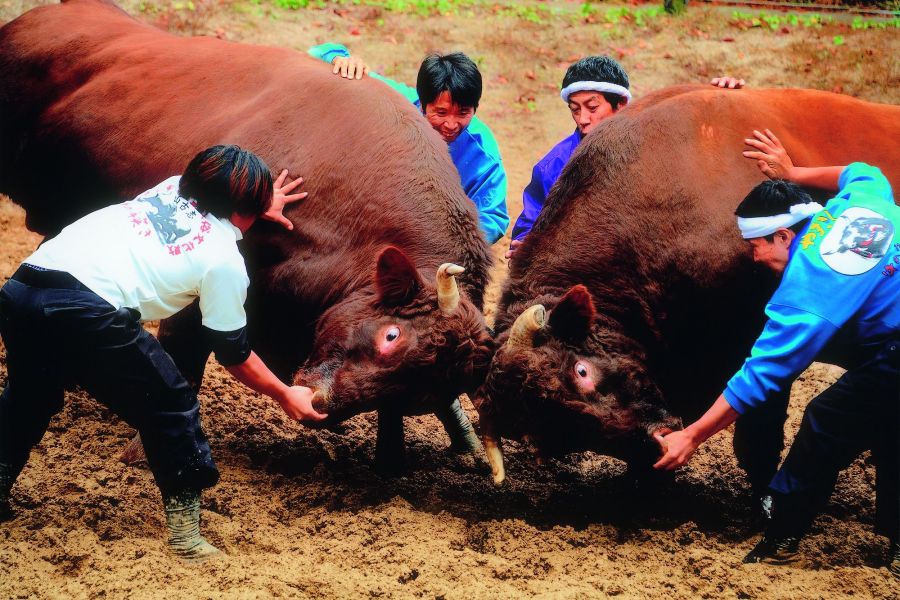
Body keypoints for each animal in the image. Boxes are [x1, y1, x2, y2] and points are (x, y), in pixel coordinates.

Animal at [0, 0, 492, 468]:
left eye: (421, 394)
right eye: (391, 337)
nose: (320, 406)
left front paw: (391, 465)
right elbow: (185, 354)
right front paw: (146, 451)